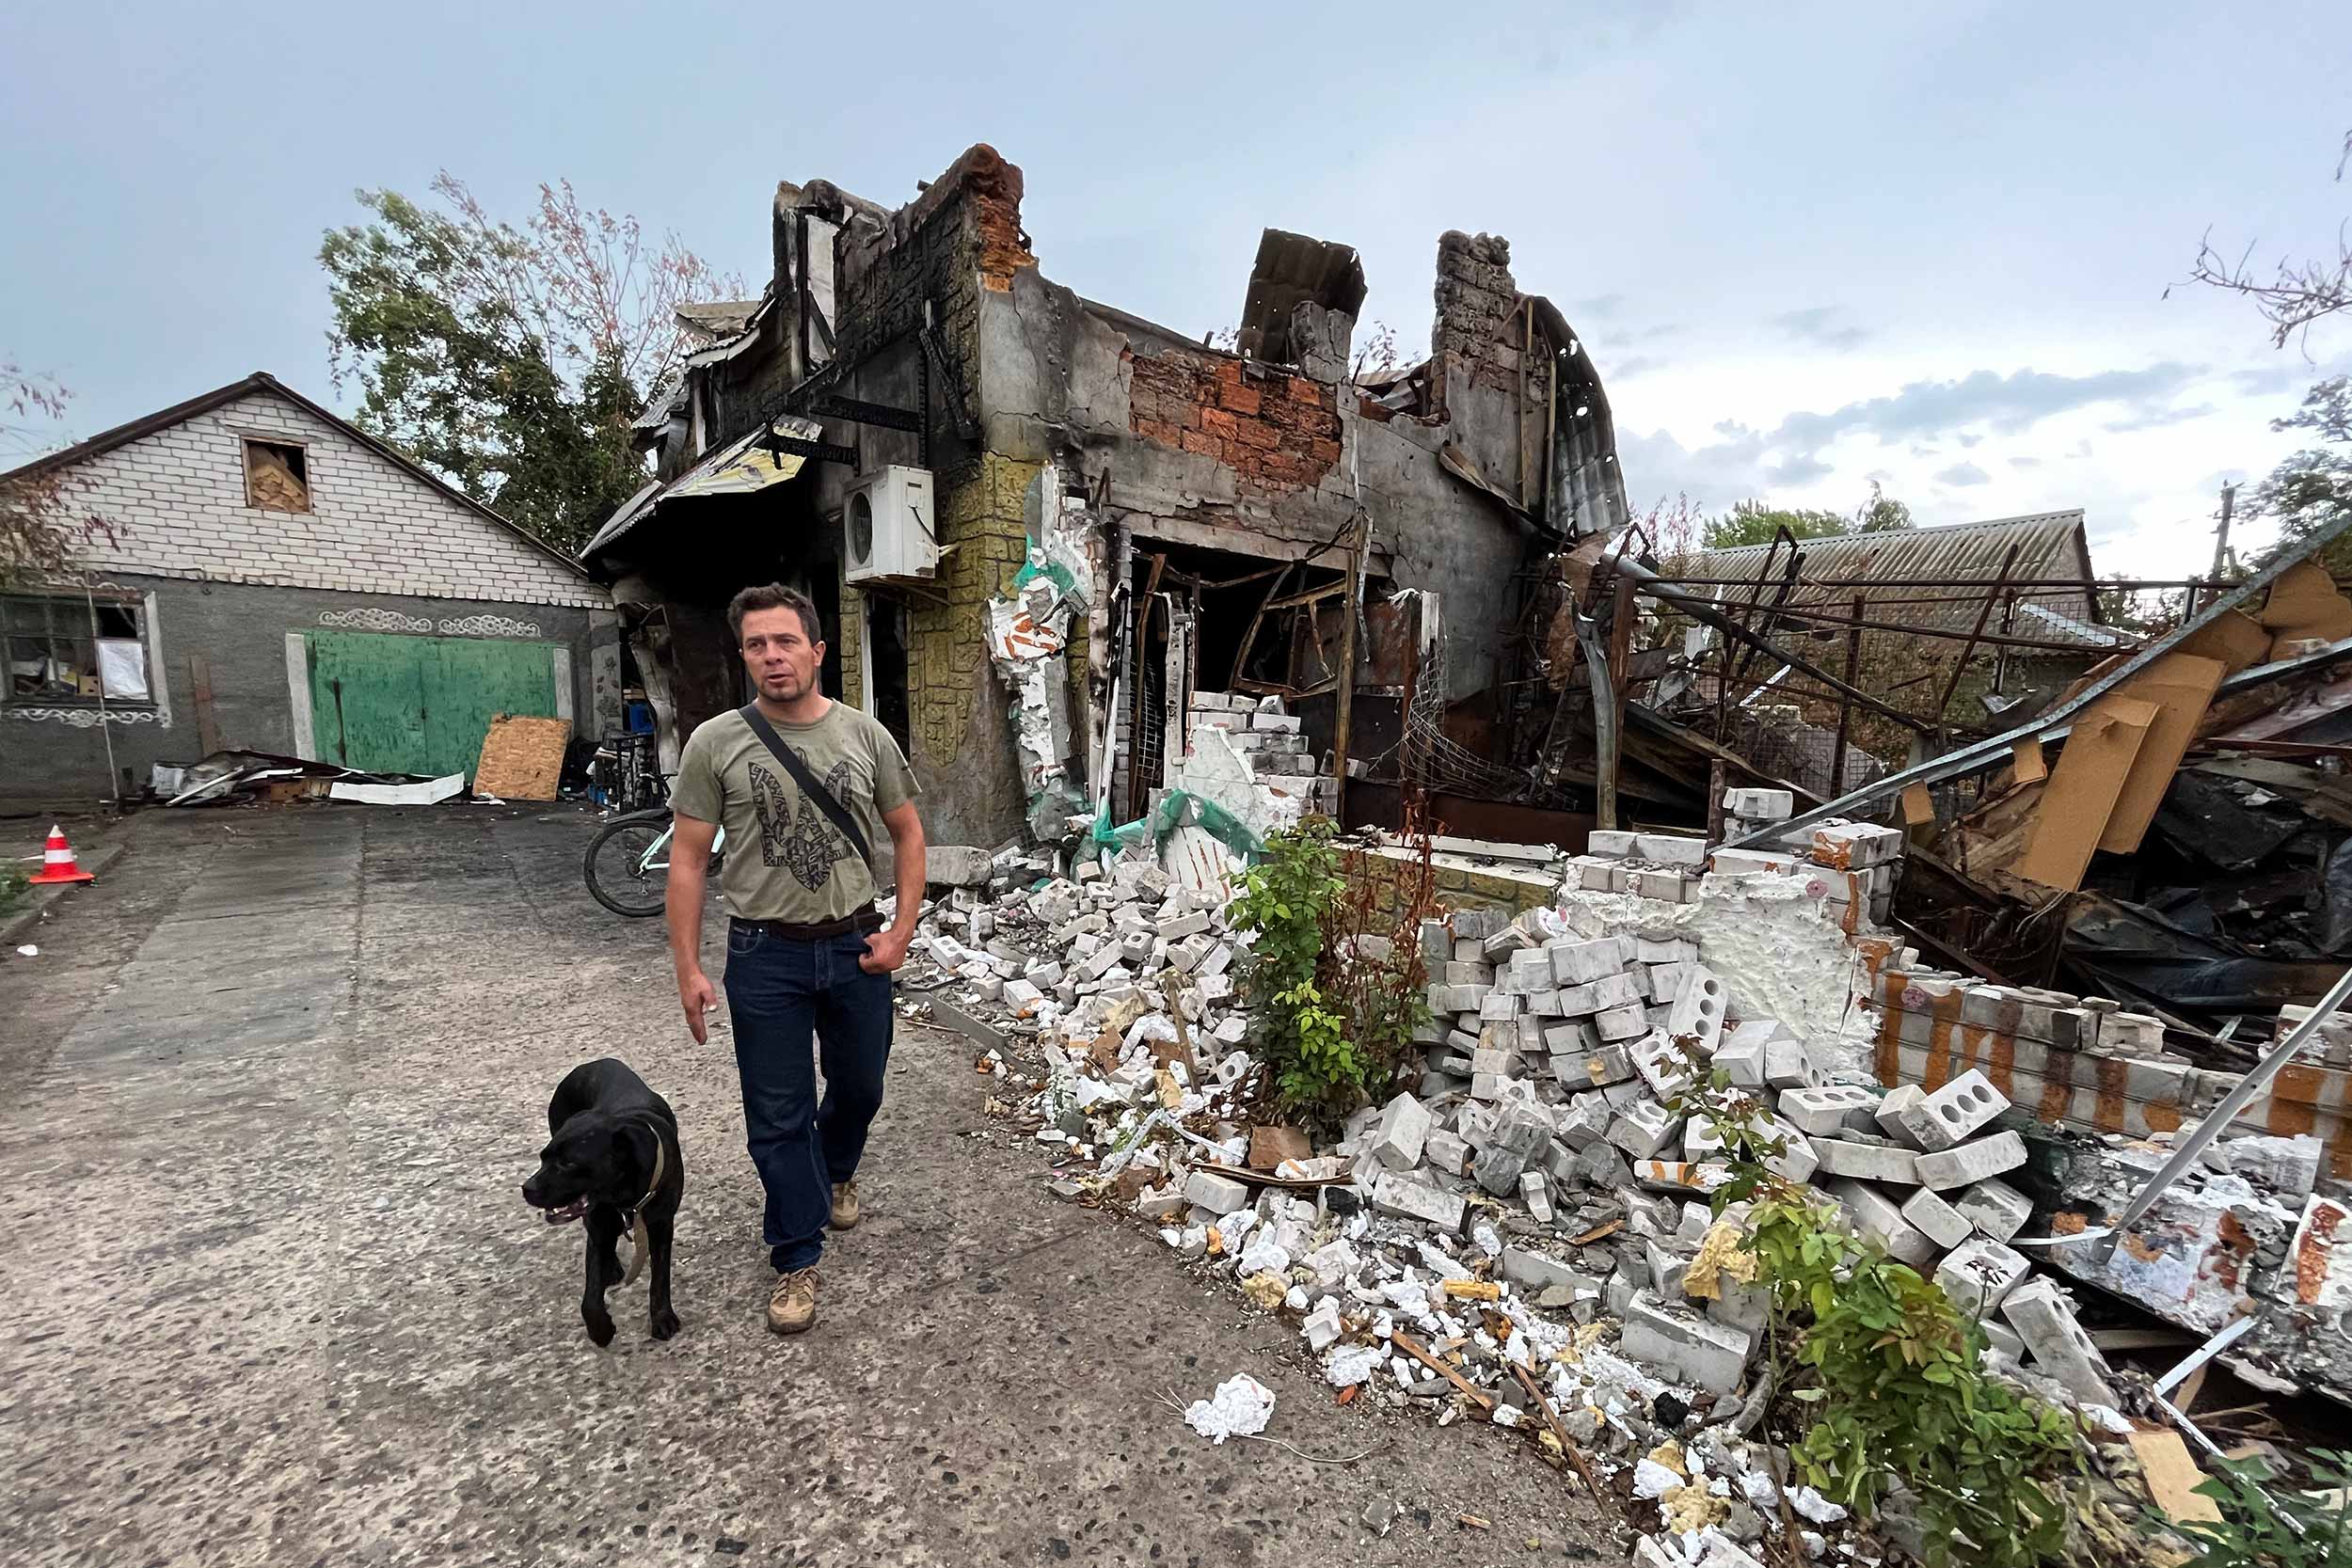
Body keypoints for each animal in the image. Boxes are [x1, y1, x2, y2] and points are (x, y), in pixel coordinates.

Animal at [522, 1062, 682, 1344]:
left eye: (569, 1163)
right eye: (543, 1157)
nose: (527, 1188)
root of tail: (585, 1066)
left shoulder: (662, 1225)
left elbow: (660, 1277)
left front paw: (662, 1317)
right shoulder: (598, 1226)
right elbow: (590, 1298)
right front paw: (601, 1330)